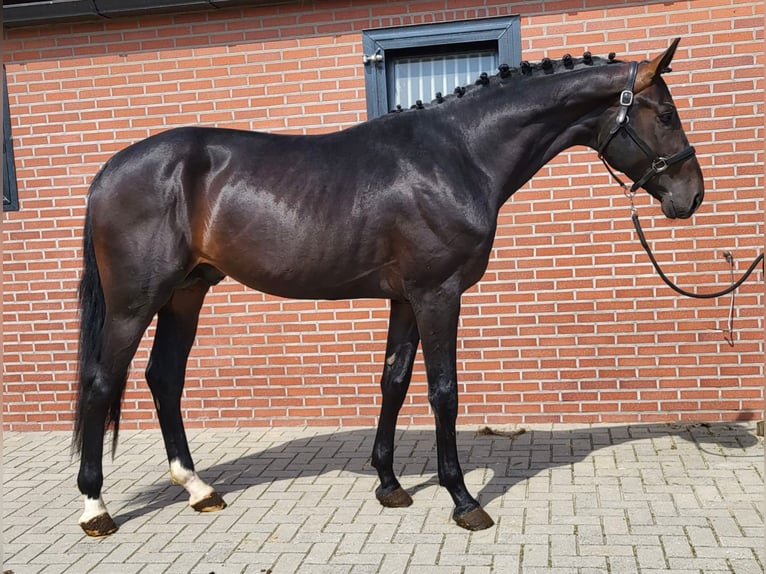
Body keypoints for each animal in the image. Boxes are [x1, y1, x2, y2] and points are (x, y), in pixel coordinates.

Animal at [76, 38, 704, 536]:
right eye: (667, 113)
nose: (691, 197)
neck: (459, 155)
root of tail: (107, 172)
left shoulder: (405, 298)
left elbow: (394, 383)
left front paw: (390, 484)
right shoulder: (438, 294)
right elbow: (444, 392)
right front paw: (463, 500)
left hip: (187, 292)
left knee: (164, 377)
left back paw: (199, 489)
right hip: (135, 301)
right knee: (103, 382)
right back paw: (94, 508)